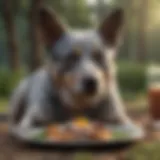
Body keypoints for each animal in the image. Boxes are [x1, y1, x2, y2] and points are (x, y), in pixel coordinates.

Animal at [8, 6, 132, 134]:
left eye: (98, 56)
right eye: (71, 57)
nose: (91, 82)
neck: (78, 107)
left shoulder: (121, 119)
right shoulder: (31, 120)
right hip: (19, 95)